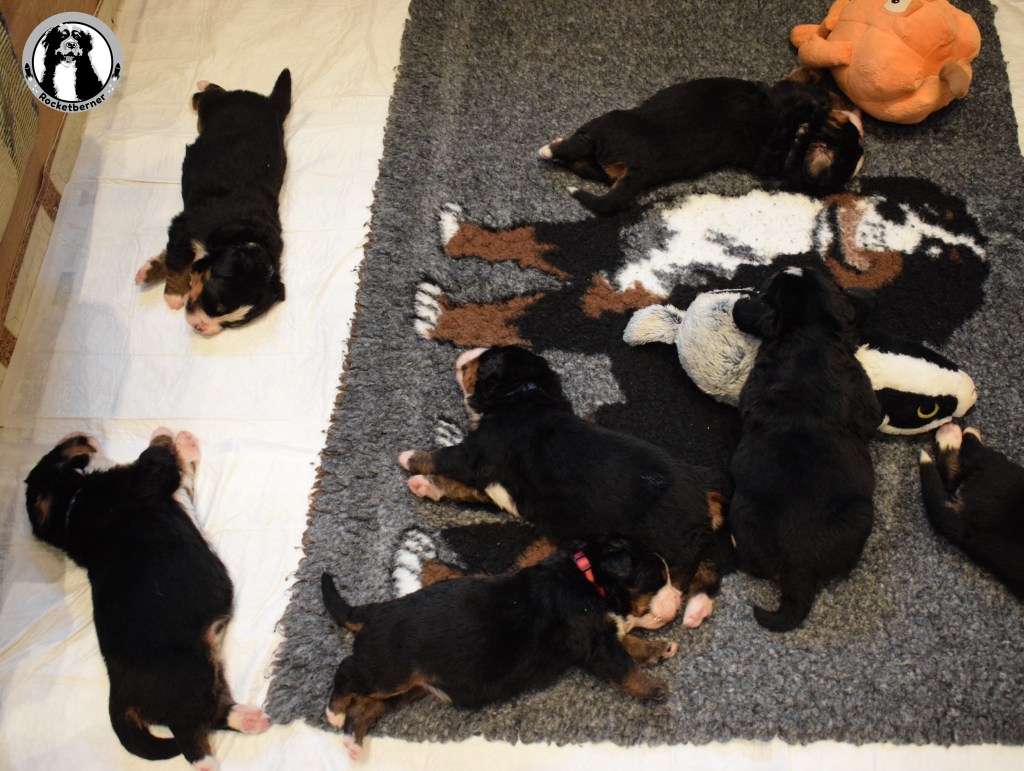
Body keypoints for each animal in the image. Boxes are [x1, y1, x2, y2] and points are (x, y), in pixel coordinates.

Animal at [24, 429, 269, 767]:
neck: (72, 507)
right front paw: (172, 436)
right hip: (192, 669)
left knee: (213, 714)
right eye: (58, 448)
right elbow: (163, 457)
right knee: (191, 736)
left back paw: (249, 719)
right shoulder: (148, 475)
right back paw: (215, 757)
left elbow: (184, 472)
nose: (80, 433)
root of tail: (120, 694)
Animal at [135, 69, 291, 335]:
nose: (202, 327)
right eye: (214, 303)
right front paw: (174, 295)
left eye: (230, 324)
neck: (243, 239)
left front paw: (149, 272)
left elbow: (177, 256)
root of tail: (267, 103)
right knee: (208, 96)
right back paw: (203, 84)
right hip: (216, 106)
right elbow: (178, 260)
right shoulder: (184, 225)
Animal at [321, 535, 679, 760]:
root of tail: (374, 611)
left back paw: (353, 742)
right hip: (388, 669)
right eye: (657, 580)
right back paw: (334, 713)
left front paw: (660, 648)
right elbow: (624, 666)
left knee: (366, 707)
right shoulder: (595, 643)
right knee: (347, 671)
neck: (588, 577)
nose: (678, 597)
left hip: (410, 686)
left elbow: (629, 643)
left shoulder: (604, 631)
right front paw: (655, 688)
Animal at [398, 345, 733, 629]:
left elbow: (442, 456)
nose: (464, 355)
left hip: (668, 538)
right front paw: (425, 485)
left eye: (486, 358)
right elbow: (459, 486)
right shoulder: (494, 484)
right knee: (708, 567)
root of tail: (701, 479)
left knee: (679, 575)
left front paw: (408, 457)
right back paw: (697, 609)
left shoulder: (475, 454)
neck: (522, 395)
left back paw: (661, 609)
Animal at [539, 73, 863, 214]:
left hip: (608, 124)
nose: (859, 116)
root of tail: (640, 169)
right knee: (581, 162)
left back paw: (549, 147)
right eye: (857, 140)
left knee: (577, 146)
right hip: (604, 165)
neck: (794, 141)